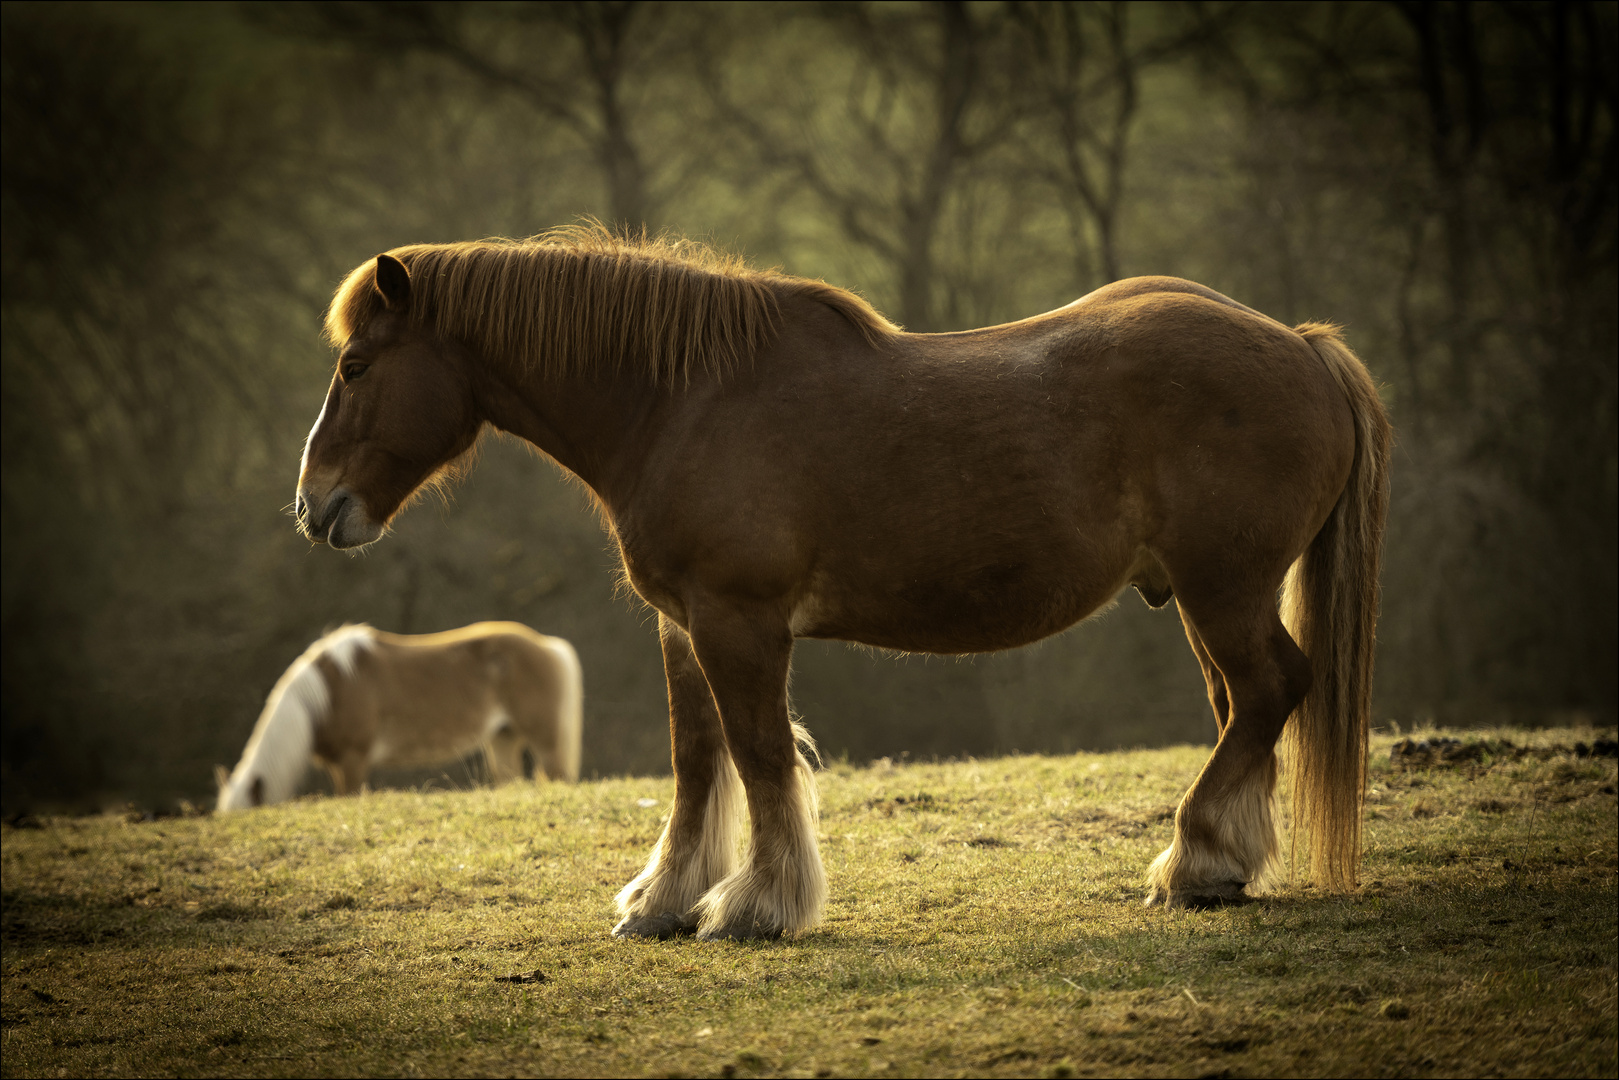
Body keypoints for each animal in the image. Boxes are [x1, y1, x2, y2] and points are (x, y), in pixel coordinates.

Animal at [215, 625, 582, 809]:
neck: (326, 692)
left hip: (545, 743)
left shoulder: (353, 760)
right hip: (503, 740)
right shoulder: (337, 763)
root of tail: (547, 644)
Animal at [294, 228, 1392, 939]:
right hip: (1209, 601)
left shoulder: (740, 623)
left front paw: (757, 905)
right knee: (1246, 707)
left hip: (1224, 591)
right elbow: (696, 761)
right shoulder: (682, 625)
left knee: (1268, 692)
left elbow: (760, 756)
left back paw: (1192, 859)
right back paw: (1219, 866)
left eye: (355, 366)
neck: (683, 402)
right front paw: (662, 900)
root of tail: (1302, 346)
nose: (313, 505)